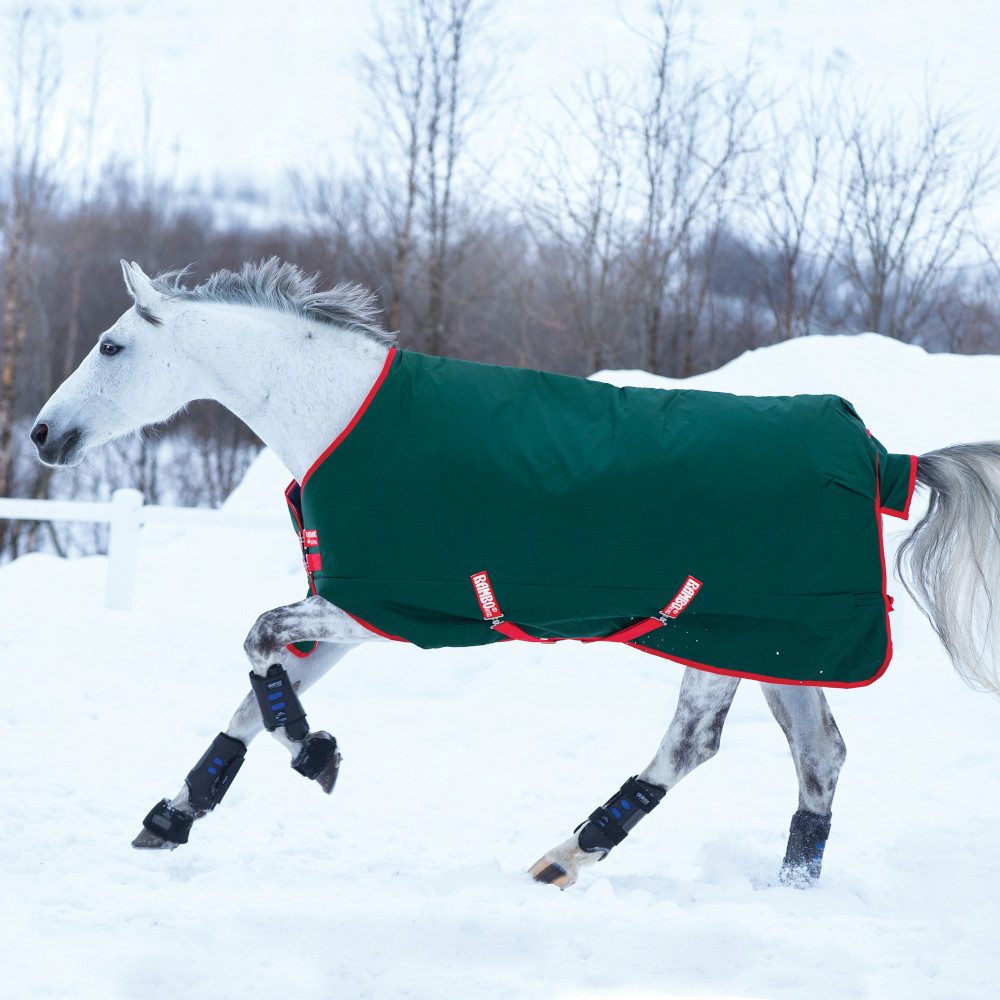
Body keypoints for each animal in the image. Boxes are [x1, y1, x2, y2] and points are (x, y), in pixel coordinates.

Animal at [30, 257, 1000, 890]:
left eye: (111, 347)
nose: (42, 435)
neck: (344, 418)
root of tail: (878, 458)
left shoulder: (383, 606)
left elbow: (258, 643)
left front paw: (315, 754)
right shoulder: (352, 608)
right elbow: (255, 689)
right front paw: (178, 813)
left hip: (714, 633)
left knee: (696, 746)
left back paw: (568, 857)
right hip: (772, 644)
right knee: (818, 757)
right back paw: (787, 888)